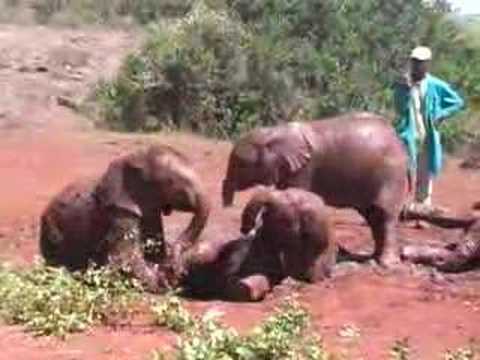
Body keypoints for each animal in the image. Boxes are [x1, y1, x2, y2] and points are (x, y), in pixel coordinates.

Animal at [38, 144, 209, 292]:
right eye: (173, 183)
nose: (177, 269)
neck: (138, 157)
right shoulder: (120, 210)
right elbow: (125, 256)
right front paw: (161, 283)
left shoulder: (150, 210)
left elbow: (154, 246)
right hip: (51, 229)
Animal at [223, 112, 406, 268]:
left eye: (240, 164)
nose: (244, 231)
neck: (274, 132)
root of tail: (396, 137)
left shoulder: (304, 169)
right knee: (373, 216)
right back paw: (373, 258)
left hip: (391, 174)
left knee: (385, 214)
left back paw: (386, 264)